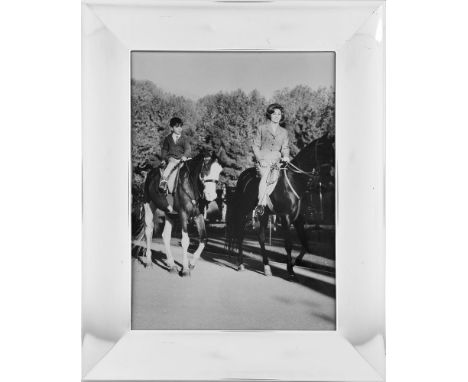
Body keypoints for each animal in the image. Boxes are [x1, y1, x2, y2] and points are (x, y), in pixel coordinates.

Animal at [225, 134, 334, 278]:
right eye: (323, 150)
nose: (329, 178)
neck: (295, 180)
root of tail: (243, 176)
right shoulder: (285, 217)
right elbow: (288, 244)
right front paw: (290, 270)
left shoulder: (299, 219)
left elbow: (305, 244)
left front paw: (296, 262)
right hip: (243, 212)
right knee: (240, 235)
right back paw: (241, 264)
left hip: (264, 214)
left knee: (261, 237)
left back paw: (266, 267)